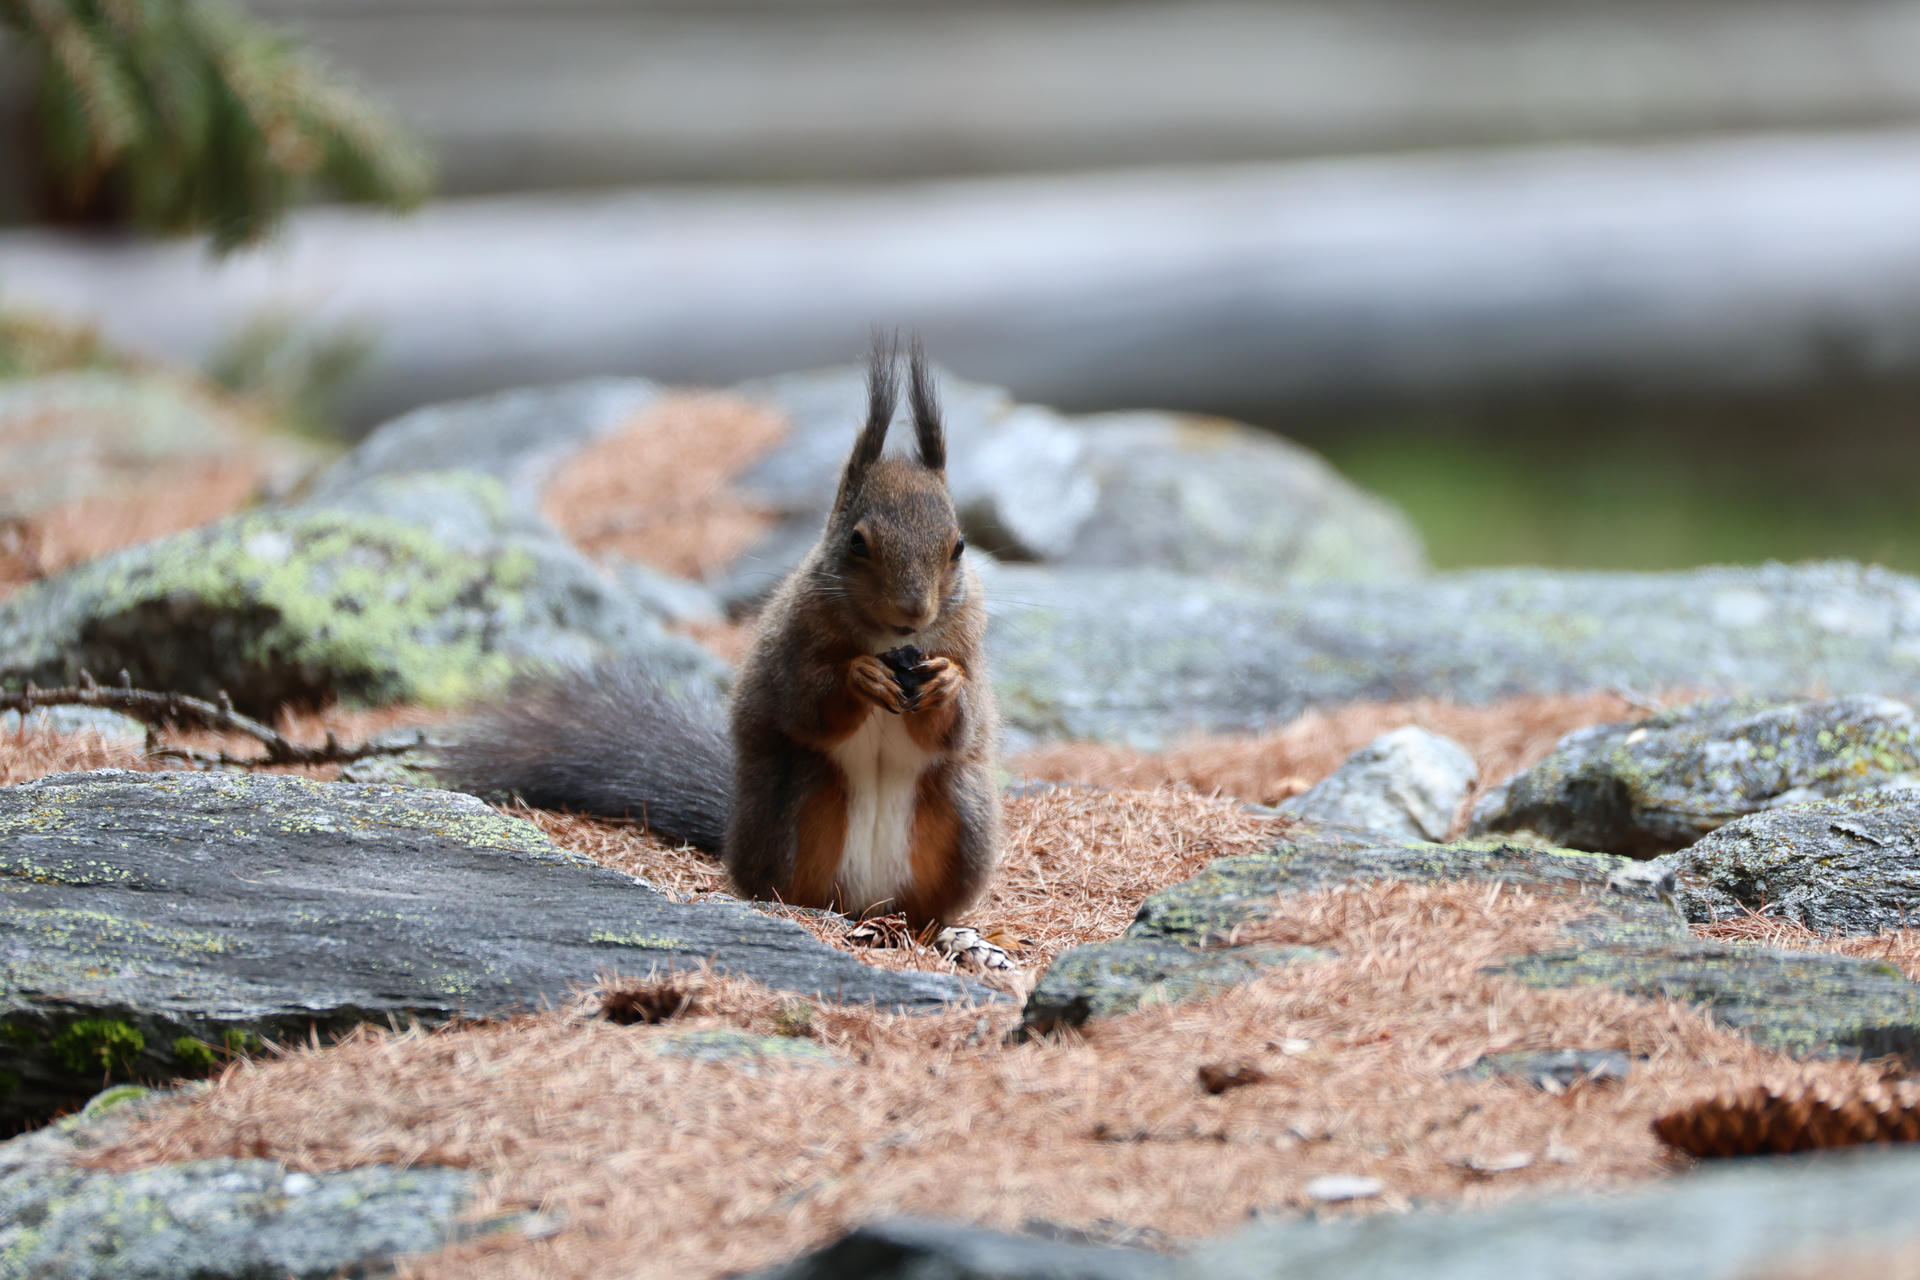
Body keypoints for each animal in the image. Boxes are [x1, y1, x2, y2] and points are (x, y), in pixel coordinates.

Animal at [441, 336, 1002, 932]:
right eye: (856, 542)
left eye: (959, 546)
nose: (913, 613)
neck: (887, 640)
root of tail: (866, 904)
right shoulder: (793, 643)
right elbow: (806, 708)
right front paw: (860, 676)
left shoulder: (966, 641)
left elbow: (958, 728)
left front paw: (947, 683)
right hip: (792, 806)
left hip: (962, 818)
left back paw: (938, 929)